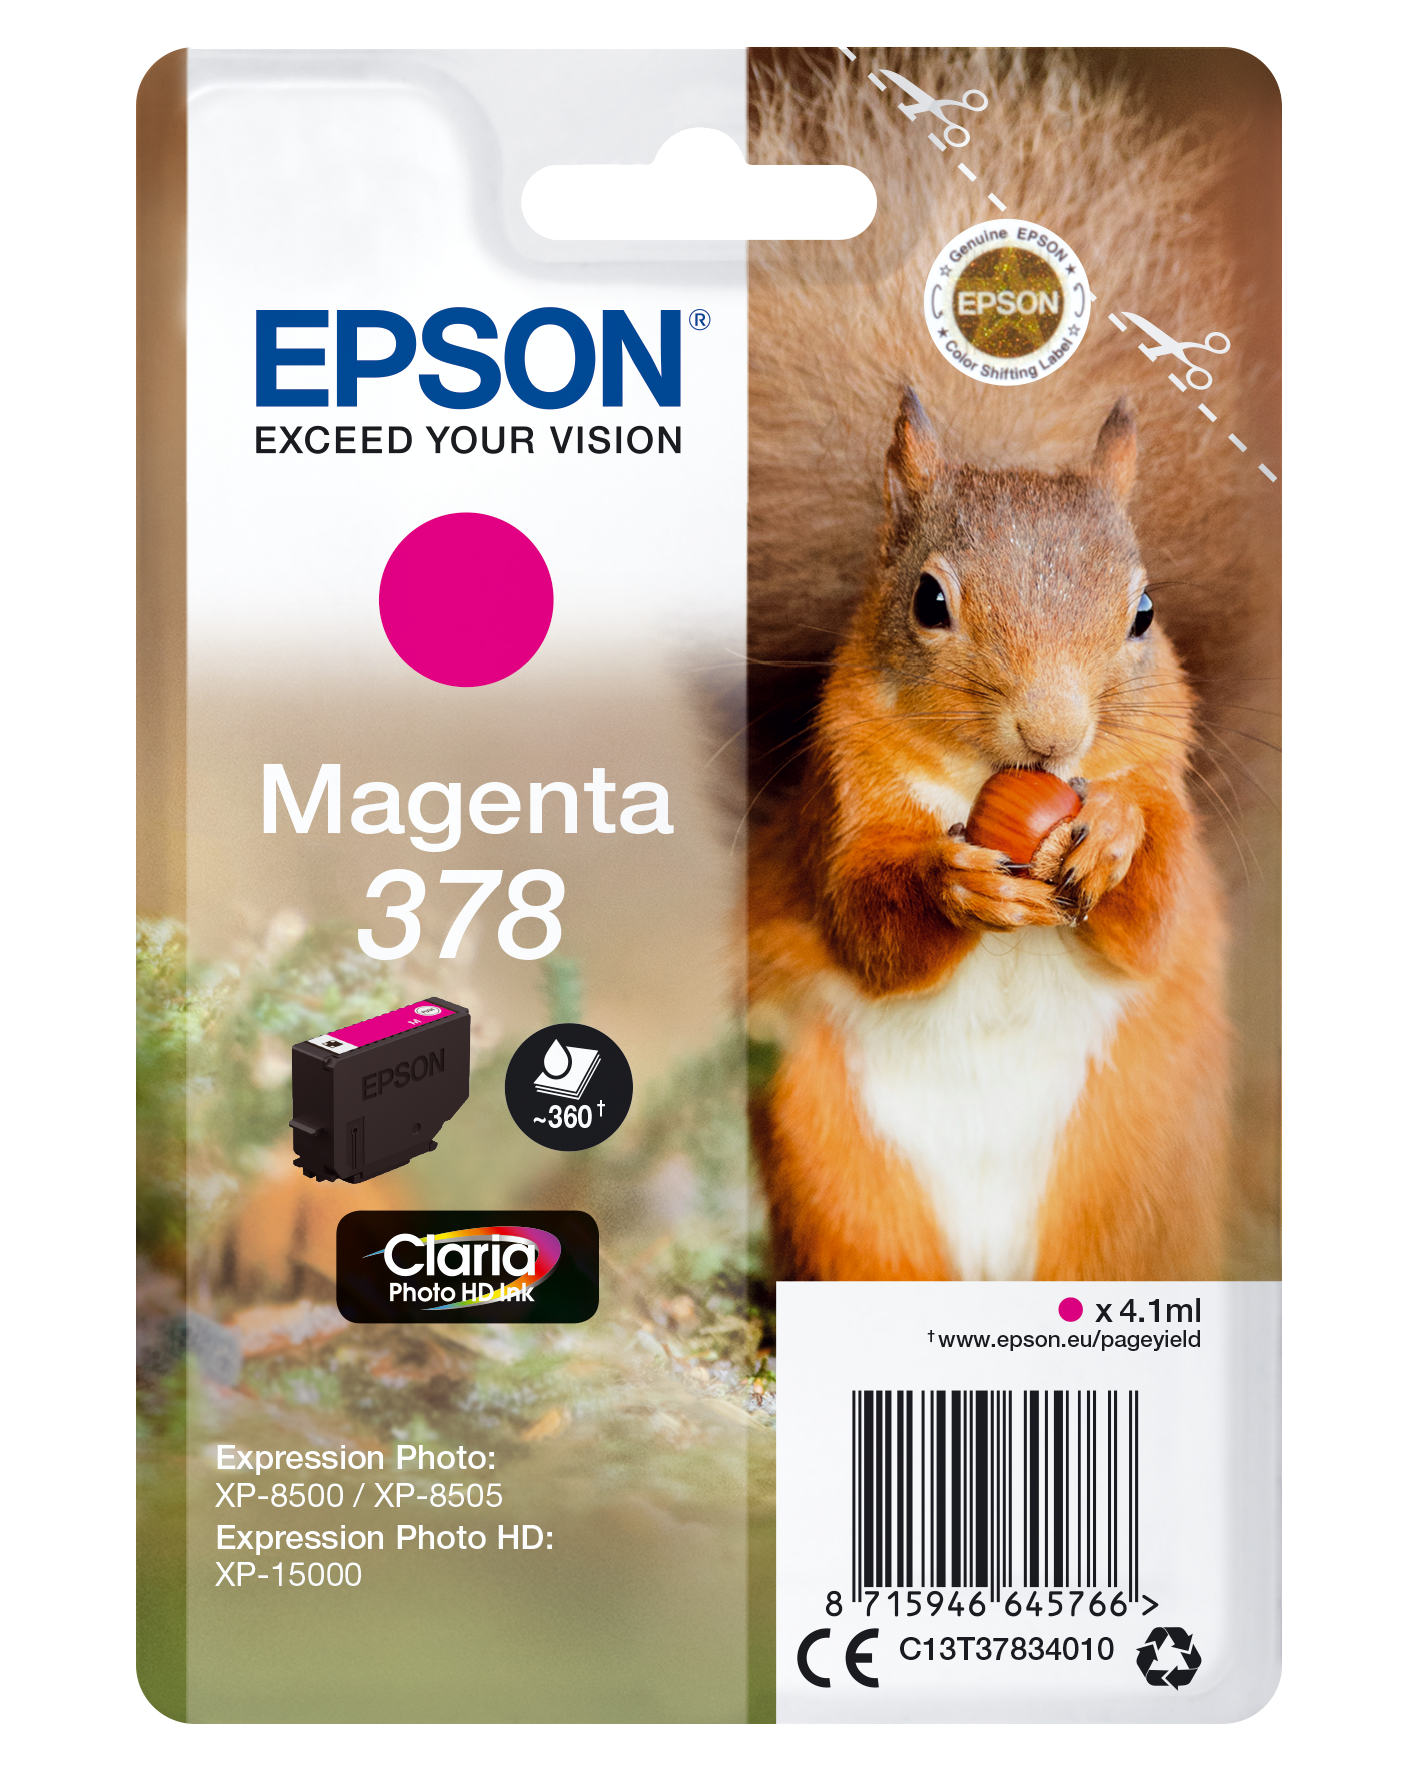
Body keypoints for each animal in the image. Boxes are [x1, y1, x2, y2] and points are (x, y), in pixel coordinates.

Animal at [745, 49, 1277, 1282]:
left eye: (1143, 613)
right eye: (928, 601)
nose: (1053, 735)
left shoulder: (1168, 790)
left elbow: (1155, 910)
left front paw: (1114, 837)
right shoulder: (841, 802)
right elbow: (865, 917)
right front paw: (958, 883)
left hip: (1131, 1184)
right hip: (839, 1177)